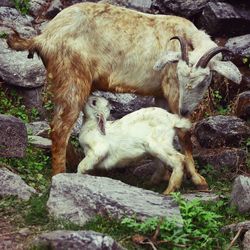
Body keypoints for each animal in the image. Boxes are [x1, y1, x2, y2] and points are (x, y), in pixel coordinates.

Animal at [7, 1, 240, 192]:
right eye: (180, 76)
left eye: (203, 81)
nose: (185, 109)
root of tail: (44, 37)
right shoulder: (172, 88)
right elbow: (184, 134)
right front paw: (198, 179)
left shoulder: (161, 95)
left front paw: (159, 176)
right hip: (72, 78)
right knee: (61, 127)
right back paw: (60, 174)